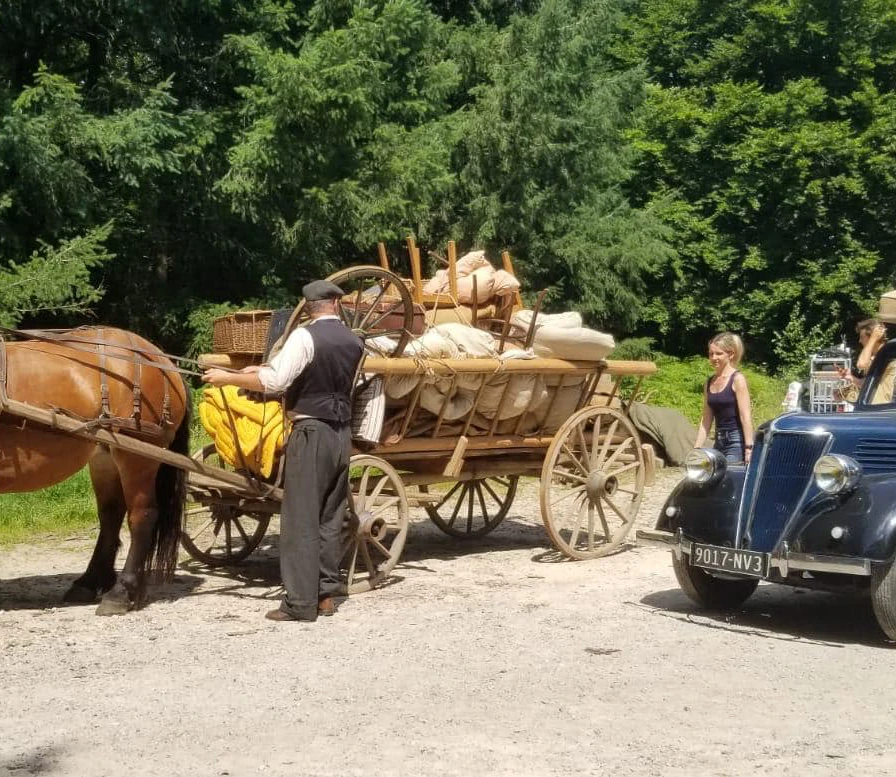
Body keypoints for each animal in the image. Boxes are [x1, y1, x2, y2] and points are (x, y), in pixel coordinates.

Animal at [0, 326, 191, 612]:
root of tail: (162, 359)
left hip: (137, 455)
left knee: (142, 516)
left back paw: (121, 592)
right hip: (104, 458)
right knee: (111, 516)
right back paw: (90, 582)